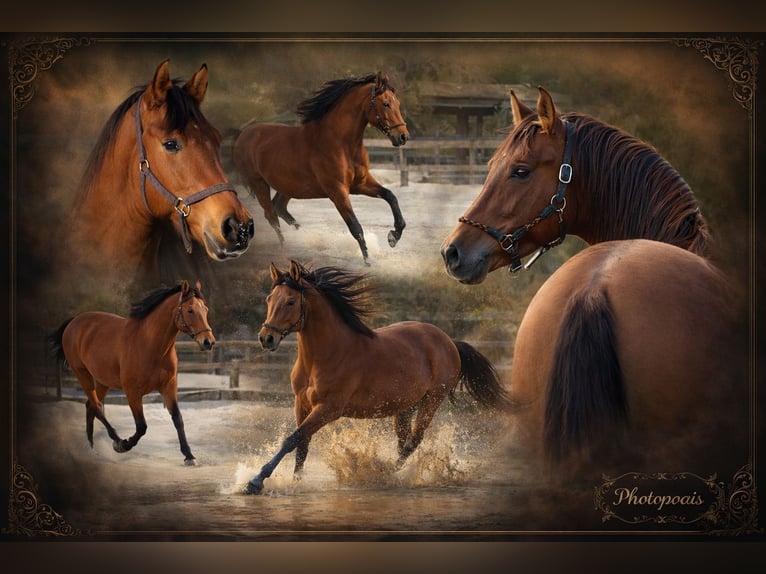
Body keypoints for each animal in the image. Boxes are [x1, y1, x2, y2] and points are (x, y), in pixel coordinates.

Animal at [47, 280, 215, 466]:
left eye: (205, 309)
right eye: (190, 310)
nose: (208, 342)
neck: (150, 345)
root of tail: (74, 322)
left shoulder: (169, 386)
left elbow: (178, 419)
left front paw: (189, 456)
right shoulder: (132, 392)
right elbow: (141, 426)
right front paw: (123, 445)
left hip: (103, 381)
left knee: (90, 406)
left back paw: (91, 449)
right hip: (82, 374)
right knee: (97, 407)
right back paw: (115, 440)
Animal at [232, 72, 409, 264]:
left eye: (398, 104)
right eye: (386, 104)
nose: (403, 136)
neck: (341, 144)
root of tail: (243, 134)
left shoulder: (361, 183)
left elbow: (390, 196)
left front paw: (393, 236)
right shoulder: (337, 191)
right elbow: (355, 226)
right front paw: (368, 261)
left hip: (289, 186)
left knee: (279, 207)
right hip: (259, 184)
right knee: (271, 216)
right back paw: (284, 251)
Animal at [243, 260, 511, 494]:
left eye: (290, 302)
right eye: (269, 299)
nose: (266, 338)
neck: (325, 355)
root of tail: (450, 342)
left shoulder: (329, 408)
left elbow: (292, 440)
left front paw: (255, 481)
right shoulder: (302, 403)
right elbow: (302, 445)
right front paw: (295, 482)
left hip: (432, 400)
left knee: (413, 441)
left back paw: (387, 475)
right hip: (405, 407)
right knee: (403, 443)